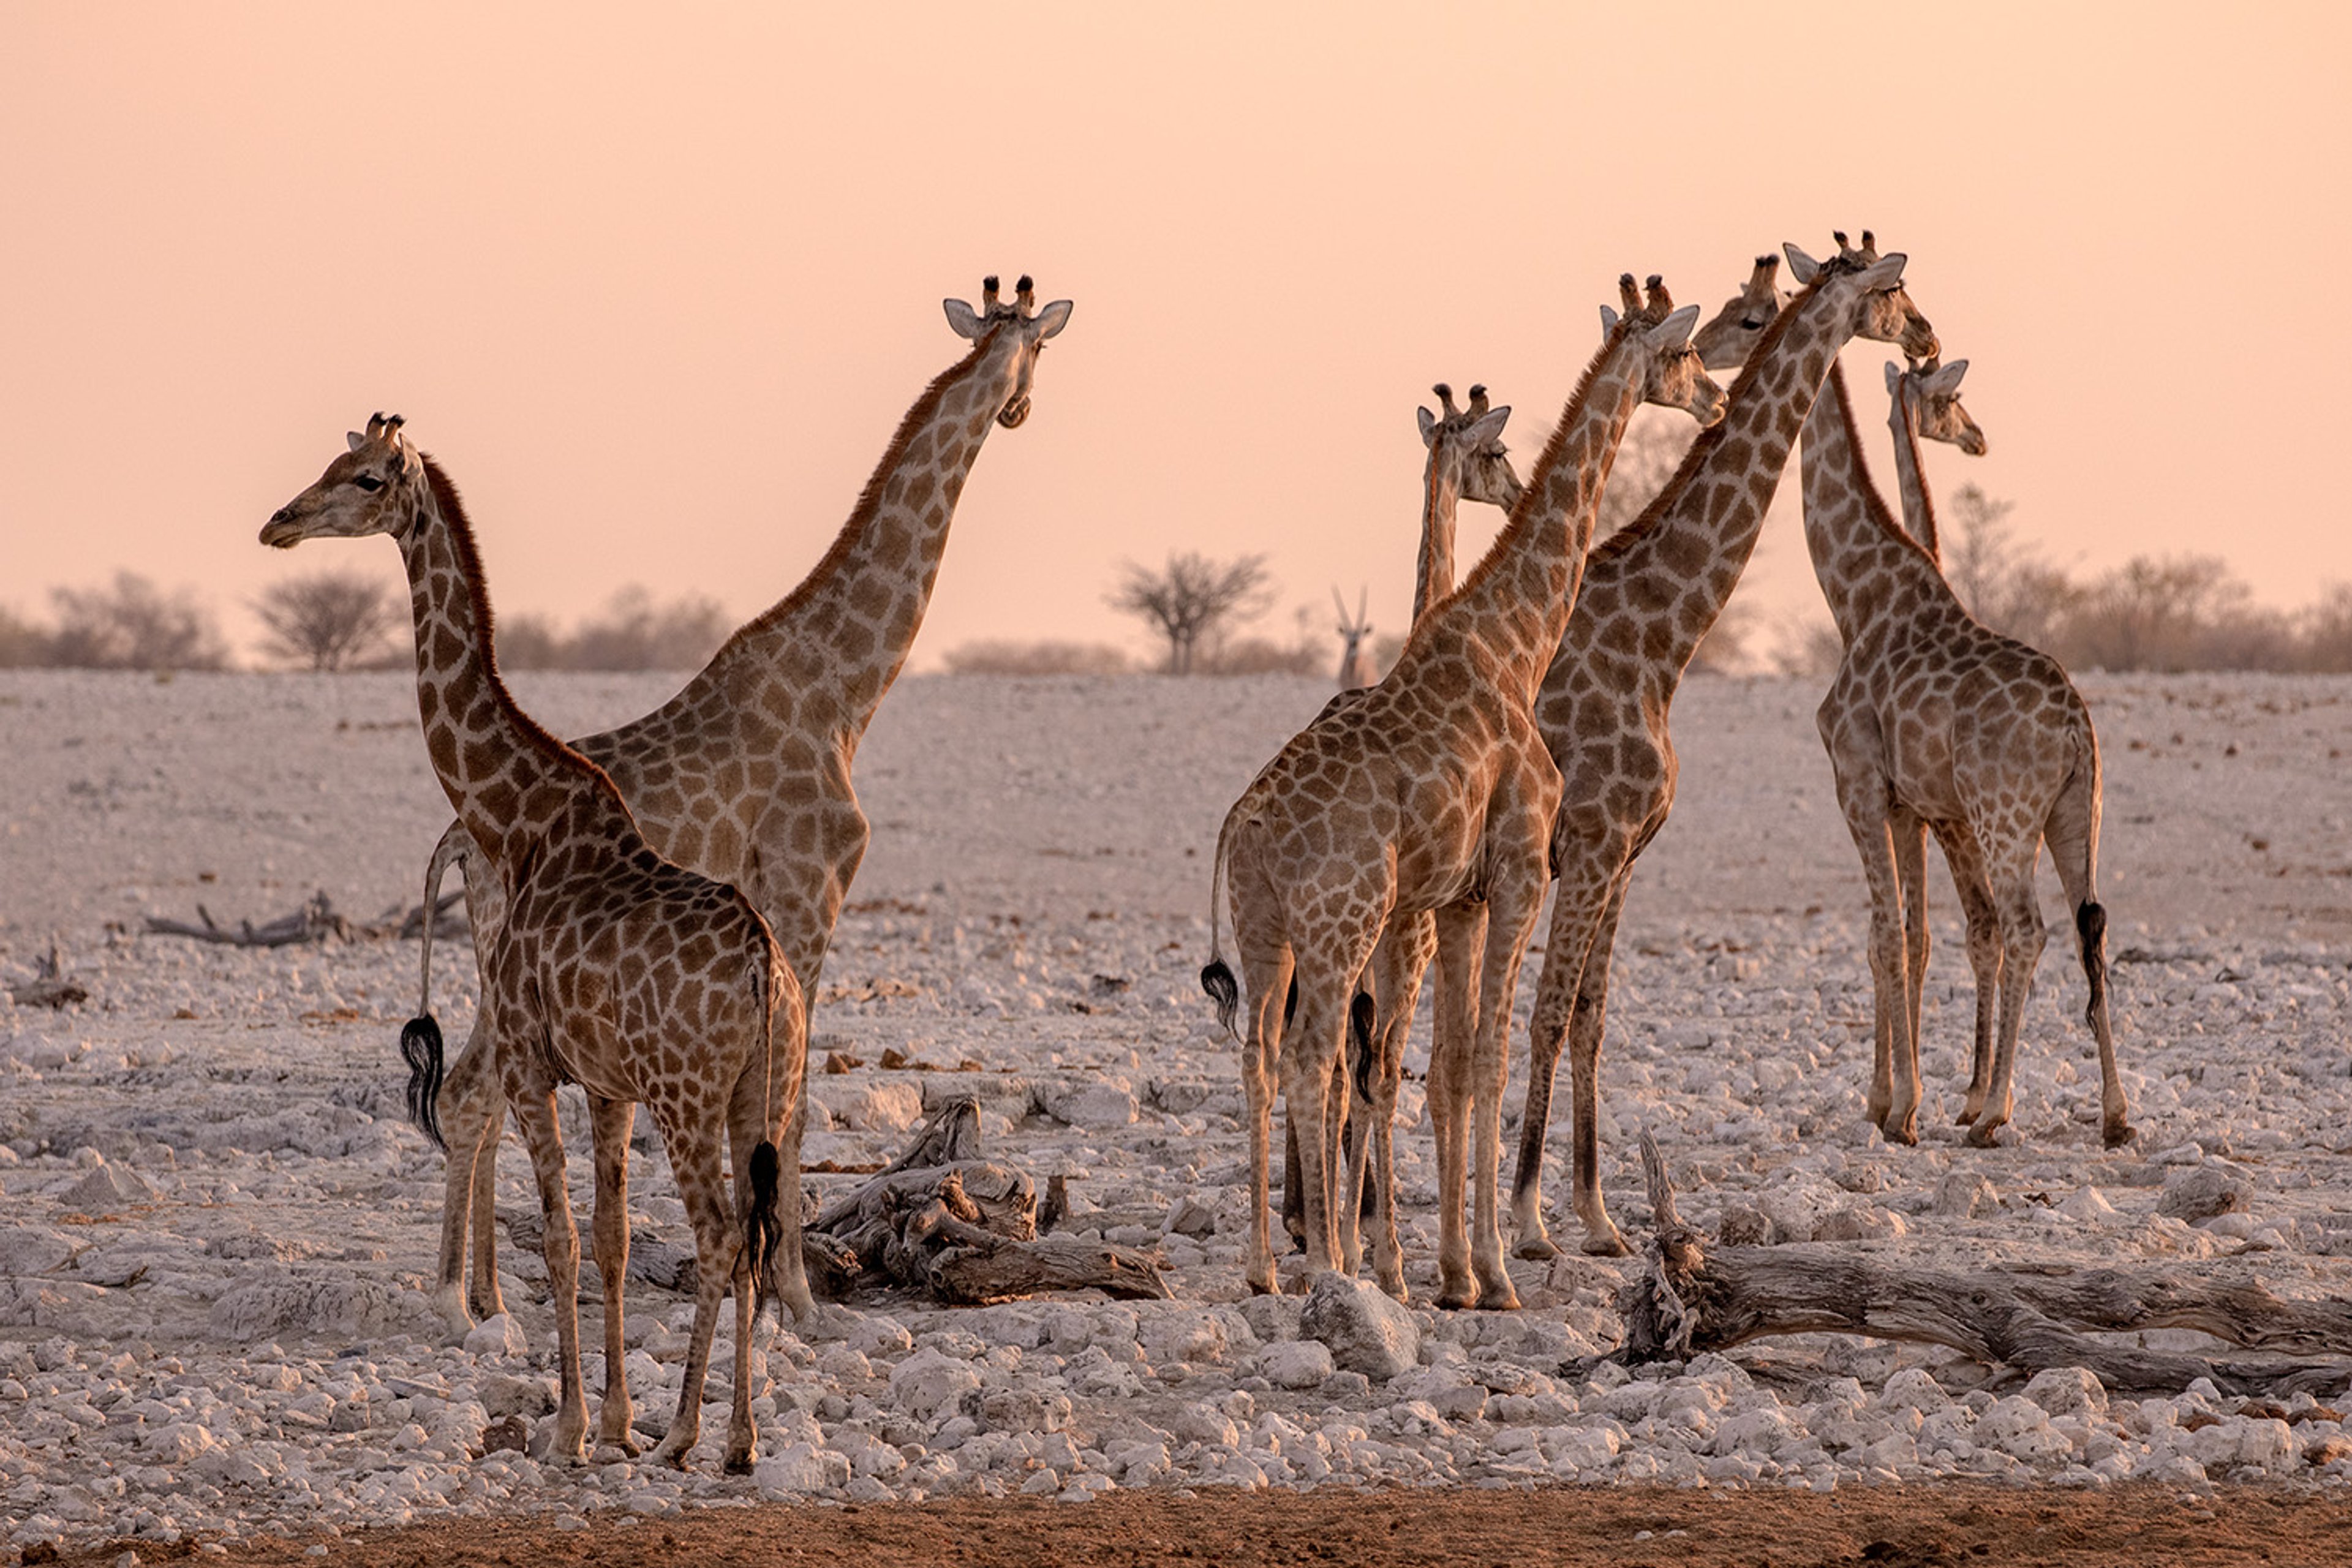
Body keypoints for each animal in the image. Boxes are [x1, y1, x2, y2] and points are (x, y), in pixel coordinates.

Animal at [262, 416, 807, 1473]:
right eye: (326, 464)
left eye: (365, 477)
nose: (279, 522)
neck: (517, 818)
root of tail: (770, 974)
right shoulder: (605, 1084)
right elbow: (612, 1237)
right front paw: (618, 1420)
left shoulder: (530, 1060)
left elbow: (559, 1236)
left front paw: (573, 1429)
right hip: (763, 1090)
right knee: (753, 1232)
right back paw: (739, 1439)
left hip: (689, 1095)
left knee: (722, 1231)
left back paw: (693, 1433)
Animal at [415, 277, 1071, 1331]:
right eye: (1037, 351)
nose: (1017, 409)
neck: (846, 691)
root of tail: (456, 838)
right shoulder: (809, 892)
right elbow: (789, 1104)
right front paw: (798, 1297)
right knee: (474, 1091)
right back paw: (464, 1300)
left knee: (477, 1096)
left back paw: (483, 1296)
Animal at [1205, 289, 1724, 1308]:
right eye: (1684, 350)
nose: (1716, 401)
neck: (1513, 641)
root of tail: (1243, 827)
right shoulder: (1515, 874)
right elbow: (1485, 1058)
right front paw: (1490, 1267)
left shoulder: (1456, 900)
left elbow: (1447, 1066)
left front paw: (1451, 1268)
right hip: (1344, 923)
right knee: (1320, 1059)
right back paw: (1332, 1263)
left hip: (1268, 927)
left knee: (1263, 1059)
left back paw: (1265, 1266)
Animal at [1497, 247, 1938, 1260]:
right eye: (1893, 292)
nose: (1931, 340)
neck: (1663, 638)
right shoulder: (1590, 843)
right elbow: (1549, 1016)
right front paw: (1534, 1220)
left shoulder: (1625, 853)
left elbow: (1592, 1018)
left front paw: (1598, 1217)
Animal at [1796, 233, 2132, 1150]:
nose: (1977, 437)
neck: (1858, 597)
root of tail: (2077, 730)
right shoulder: (1916, 806)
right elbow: (1916, 937)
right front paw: (1905, 1100)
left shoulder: (1867, 786)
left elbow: (1895, 935)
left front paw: (1901, 1105)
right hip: (2074, 813)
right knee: (2090, 926)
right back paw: (2115, 1114)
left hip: (2004, 816)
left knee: (2024, 928)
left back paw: (1994, 1111)